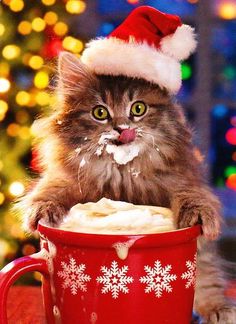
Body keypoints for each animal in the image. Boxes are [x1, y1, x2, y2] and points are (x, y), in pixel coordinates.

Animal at [19, 52, 236, 322]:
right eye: (100, 112)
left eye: (138, 108)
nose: (122, 128)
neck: (121, 174)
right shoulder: (64, 179)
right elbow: (48, 192)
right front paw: (41, 213)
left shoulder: (183, 180)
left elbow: (194, 197)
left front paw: (198, 215)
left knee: (208, 280)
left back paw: (220, 310)